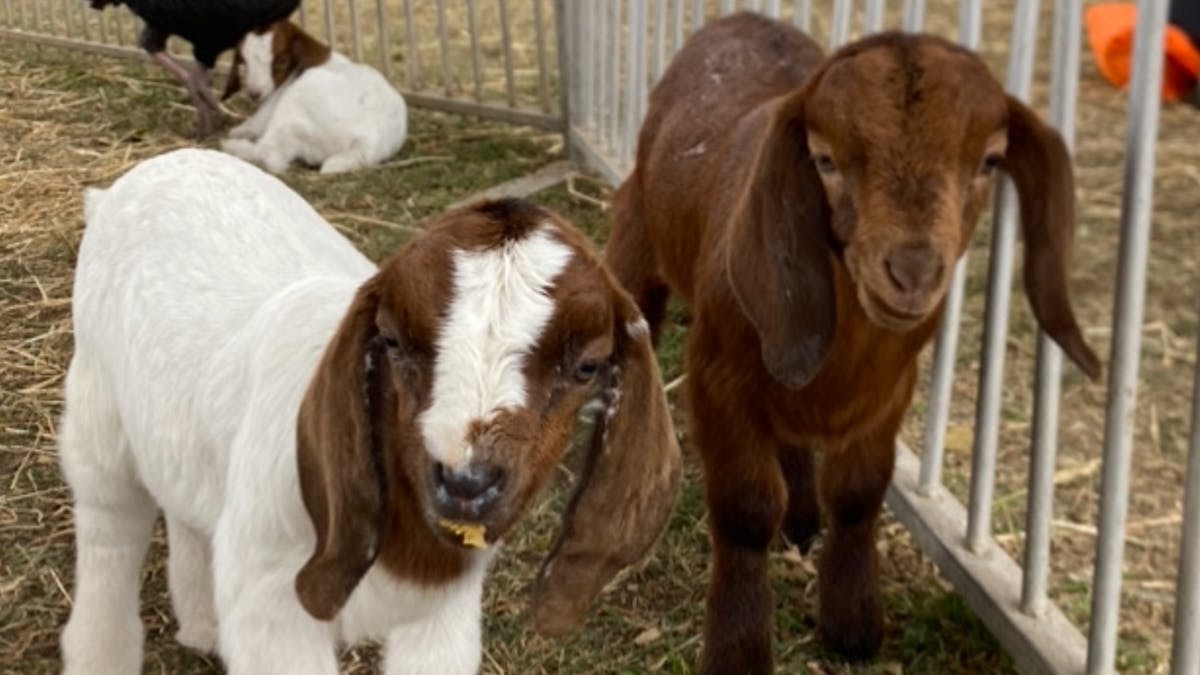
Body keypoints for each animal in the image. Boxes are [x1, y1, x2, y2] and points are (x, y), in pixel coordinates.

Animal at [59, 148, 681, 675]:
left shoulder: (443, 615)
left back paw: (203, 624)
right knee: (110, 530)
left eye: (588, 366)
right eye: (392, 339)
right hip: (96, 410)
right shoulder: (271, 608)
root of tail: (149, 170)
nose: (466, 482)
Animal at [219, 21, 407, 174]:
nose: (254, 93)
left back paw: (231, 146)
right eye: (243, 61)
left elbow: (251, 126)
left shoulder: (270, 108)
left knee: (269, 154)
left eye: (282, 61)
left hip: (294, 107)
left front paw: (235, 131)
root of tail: (365, 141)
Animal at [606, 13, 1101, 672]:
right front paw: (738, 646)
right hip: (637, 238)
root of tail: (743, 19)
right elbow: (744, 511)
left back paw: (801, 512)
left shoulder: (889, 393)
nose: (912, 272)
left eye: (991, 161)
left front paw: (852, 622)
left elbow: (859, 492)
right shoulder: (717, 379)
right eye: (825, 159)